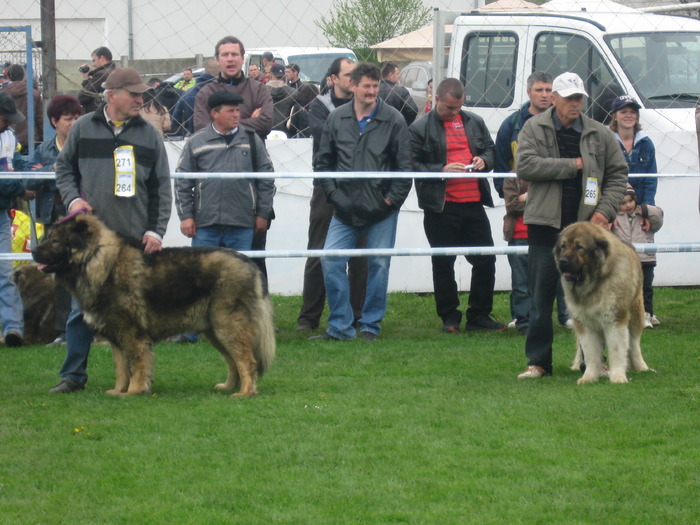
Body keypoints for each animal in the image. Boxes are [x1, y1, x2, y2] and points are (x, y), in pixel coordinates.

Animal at [31, 211, 274, 396]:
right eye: (48, 237)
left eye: (55, 241)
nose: (32, 251)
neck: (98, 259)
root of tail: (250, 264)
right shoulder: (116, 336)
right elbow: (121, 369)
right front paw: (118, 391)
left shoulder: (131, 333)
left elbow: (137, 365)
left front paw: (133, 391)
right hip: (214, 330)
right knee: (233, 361)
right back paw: (229, 386)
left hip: (228, 326)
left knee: (246, 360)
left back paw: (245, 392)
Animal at [556, 219, 652, 382]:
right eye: (563, 246)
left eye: (579, 247)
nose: (562, 261)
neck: (593, 284)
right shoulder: (583, 322)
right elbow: (590, 352)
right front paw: (589, 377)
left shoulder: (614, 318)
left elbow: (617, 349)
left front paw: (618, 377)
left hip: (636, 311)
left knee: (634, 343)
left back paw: (642, 367)